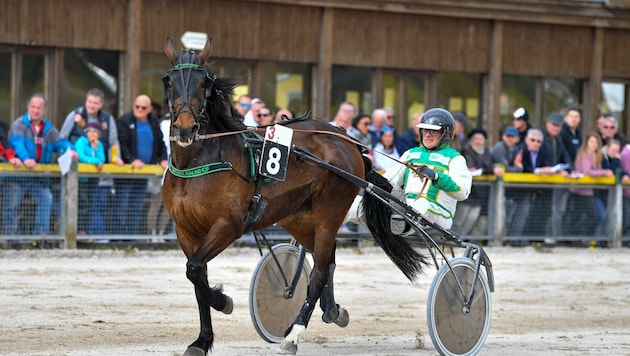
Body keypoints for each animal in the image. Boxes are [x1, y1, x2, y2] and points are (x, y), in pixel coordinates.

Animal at [163, 36, 430, 356]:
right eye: (168, 81)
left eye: (204, 83)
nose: (185, 128)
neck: (198, 163)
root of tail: (349, 141)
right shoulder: (185, 230)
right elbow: (197, 276)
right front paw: (202, 340)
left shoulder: (229, 225)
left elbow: (195, 269)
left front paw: (223, 301)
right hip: (299, 217)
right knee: (326, 261)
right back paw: (333, 310)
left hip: (329, 211)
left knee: (318, 273)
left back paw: (294, 333)